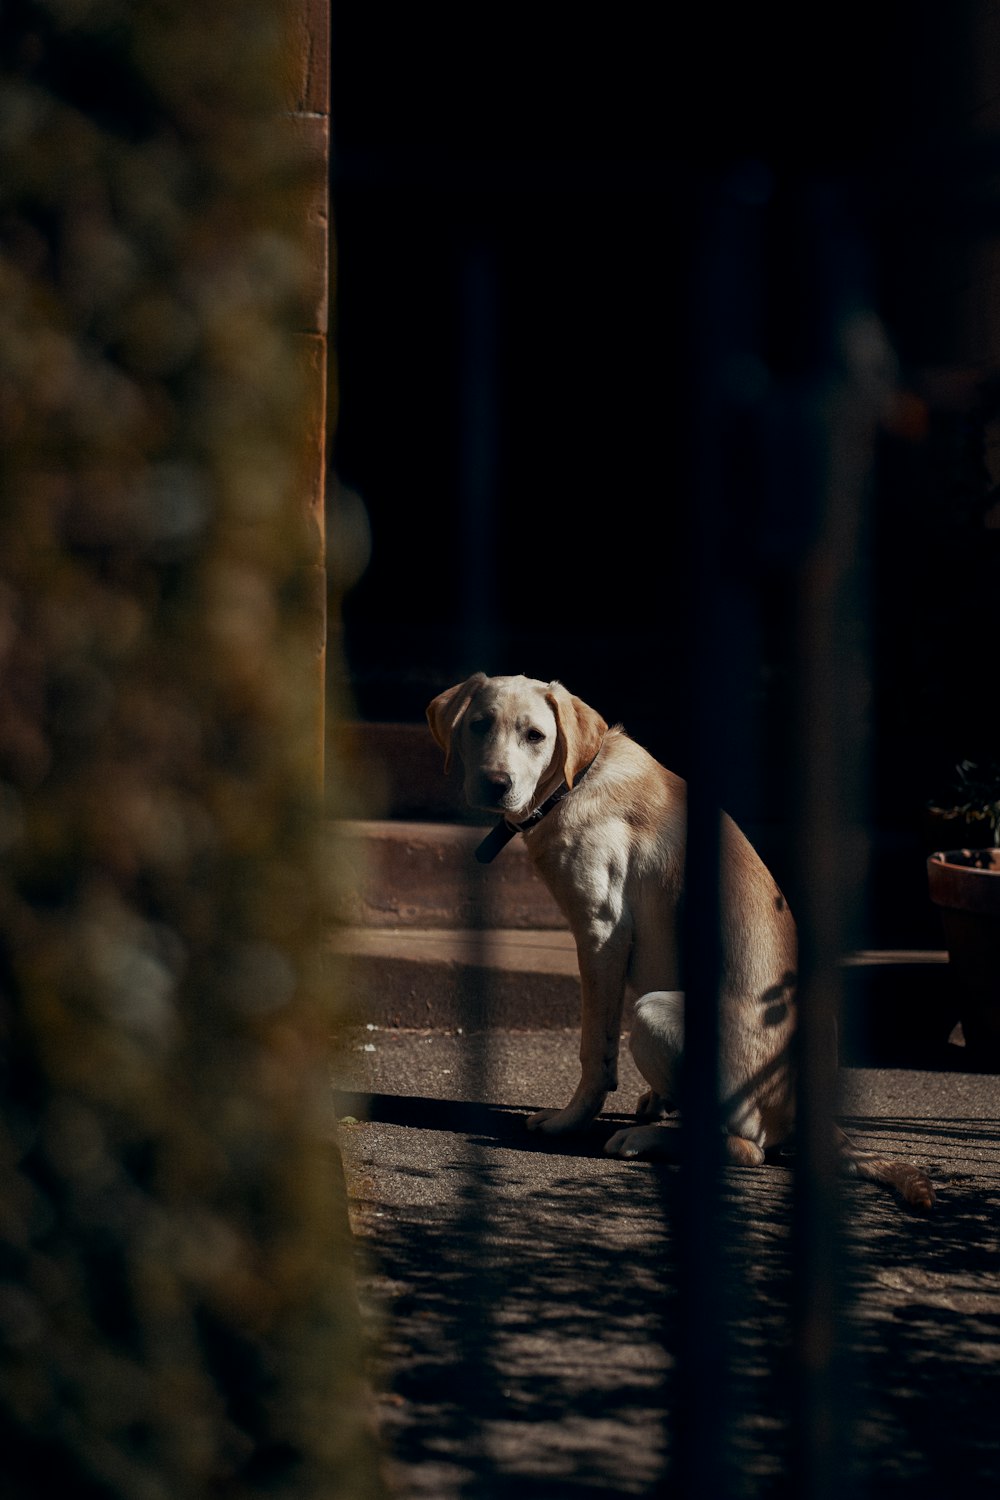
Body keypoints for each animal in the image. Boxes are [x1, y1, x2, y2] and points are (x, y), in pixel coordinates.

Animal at [431, 675, 941, 1212]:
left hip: (652, 1013)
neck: (576, 781)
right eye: (479, 725)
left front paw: (569, 1122)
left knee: (749, 1148)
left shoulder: (601, 934)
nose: (496, 783)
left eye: (535, 736)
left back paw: (646, 1139)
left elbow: (595, 1051)